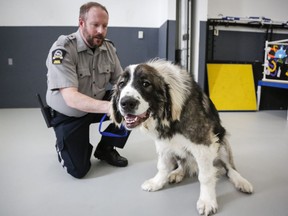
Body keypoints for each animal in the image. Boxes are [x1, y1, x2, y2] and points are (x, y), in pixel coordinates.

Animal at [109, 59, 252, 216]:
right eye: (121, 84)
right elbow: (162, 166)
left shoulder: (203, 143)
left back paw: (242, 182)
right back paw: (176, 173)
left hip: (223, 142)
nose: (126, 103)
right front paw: (157, 183)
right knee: (183, 164)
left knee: (230, 169)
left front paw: (207, 201)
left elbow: (206, 177)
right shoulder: (163, 142)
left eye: (146, 84)